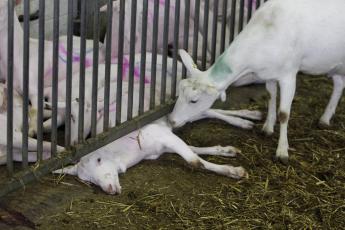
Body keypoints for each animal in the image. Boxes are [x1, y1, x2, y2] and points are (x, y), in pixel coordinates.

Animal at [168, 0, 344, 164]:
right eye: (179, 94)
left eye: (194, 100)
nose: (171, 120)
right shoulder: (269, 74)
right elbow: (271, 97)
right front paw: (267, 128)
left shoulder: (289, 74)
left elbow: (284, 114)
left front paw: (282, 151)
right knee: (339, 84)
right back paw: (325, 119)